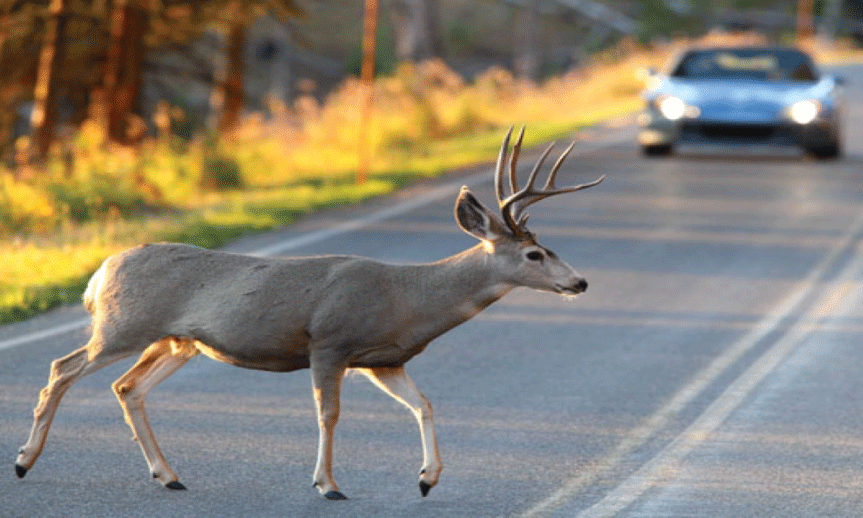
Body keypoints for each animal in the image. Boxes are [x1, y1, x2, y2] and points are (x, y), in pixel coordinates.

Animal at [15, 126, 608, 500]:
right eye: (535, 255)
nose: (579, 281)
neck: (409, 297)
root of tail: (100, 272)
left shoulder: (383, 358)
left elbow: (425, 404)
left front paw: (426, 479)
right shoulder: (330, 342)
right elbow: (329, 414)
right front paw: (329, 485)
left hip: (177, 340)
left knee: (127, 387)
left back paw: (169, 475)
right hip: (123, 324)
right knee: (63, 369)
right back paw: (24, 461)